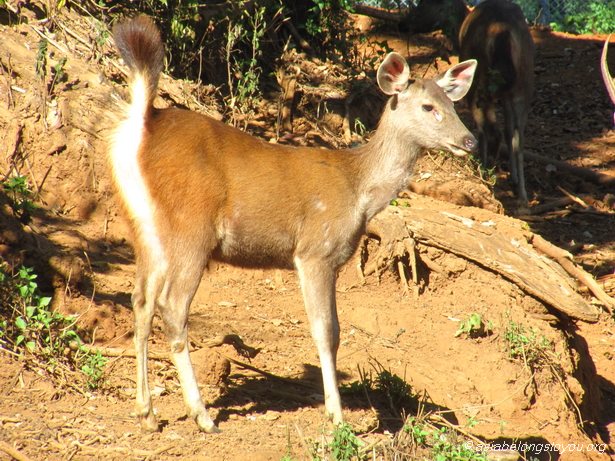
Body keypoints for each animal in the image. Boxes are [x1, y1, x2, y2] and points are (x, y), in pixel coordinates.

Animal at [109, 14, 476, 432]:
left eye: (453, 104)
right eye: (429, 106)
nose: (470, 141)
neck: (359, 189)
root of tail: (141, 127)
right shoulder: (316, 250)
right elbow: (326, 332)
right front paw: (337, 416)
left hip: (144, 228)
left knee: (140, 301)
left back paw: (147, 413)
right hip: (191, 227)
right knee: (171, 306)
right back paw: (202, 414)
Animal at [410, 0, 536, 203]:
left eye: (426, 3)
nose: (405, 23)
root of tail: (504, 33)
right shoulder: (509, 96)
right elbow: (511, 133)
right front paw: (514, 179)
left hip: (480, 83)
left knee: (490, 131)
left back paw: (486, 177)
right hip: (524, 85)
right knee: (518, 136)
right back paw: (522, 194)